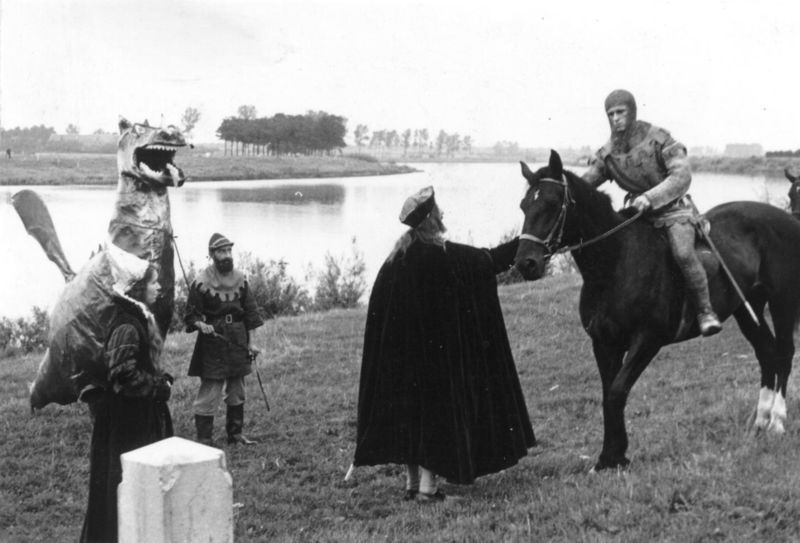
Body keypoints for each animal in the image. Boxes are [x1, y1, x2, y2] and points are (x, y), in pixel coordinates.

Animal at [514, 150, 800, 471]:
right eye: (525, 205)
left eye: (552, 203)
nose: (526, 263)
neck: (616, 263)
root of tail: (789, 221)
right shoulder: (604, 344)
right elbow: (608, 394)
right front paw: (610, 457)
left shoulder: (647, 340)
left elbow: (617, 391)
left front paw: (615, 456)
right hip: (747, 308)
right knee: (767, 354)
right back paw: (760, 421)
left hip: (782, 302)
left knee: (784, 353)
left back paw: (777, 421)